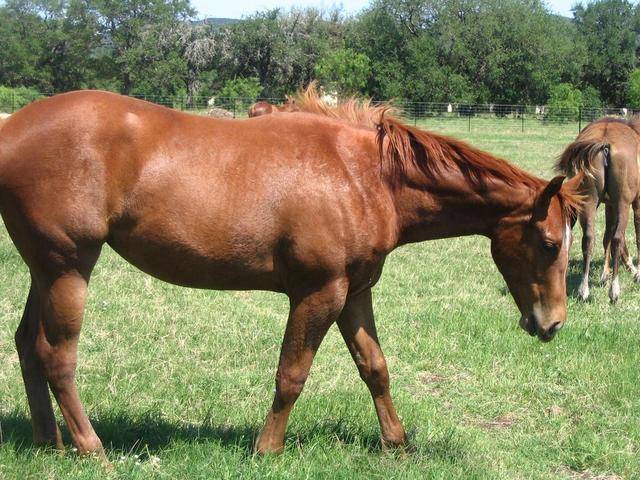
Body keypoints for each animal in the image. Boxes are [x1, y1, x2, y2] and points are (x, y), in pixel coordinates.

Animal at [0, 87, 580, 462]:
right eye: (551, 244)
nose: (552, 323)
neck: (364, 175)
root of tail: (11, 128)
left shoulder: (354, 294)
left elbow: (375, 368)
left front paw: (397, 444)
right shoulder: (318, 293)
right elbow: (291, 374)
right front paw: (267, 449)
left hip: (44, 270)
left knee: (27, 344)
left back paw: (49, 443)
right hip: (69, 267)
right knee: (57, 356)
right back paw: (90, 448)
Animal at [556, 116, 640, 302]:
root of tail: (604, 143)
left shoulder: (609, 205)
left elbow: (606, 234)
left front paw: (605, 273)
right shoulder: (635, 203)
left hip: (588, 203)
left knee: (589, 239)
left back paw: (584, 289)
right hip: (622, 204)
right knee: (616, 239)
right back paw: (614, 290)